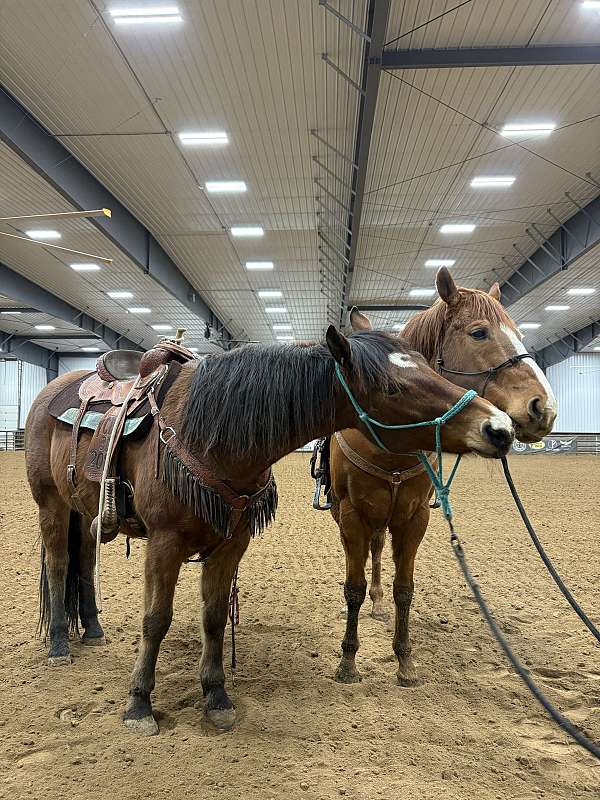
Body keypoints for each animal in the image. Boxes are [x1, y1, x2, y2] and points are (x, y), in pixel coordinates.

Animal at [25, 325, 514, 735]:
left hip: (84, 513)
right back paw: (59, 645)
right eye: (393, 387)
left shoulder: (231, 544)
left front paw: (216, 697)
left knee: (84, 564)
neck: (210, 432)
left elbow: (214, 616)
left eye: (430, 367)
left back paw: (92, 629)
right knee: (59, 563)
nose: (500, 427)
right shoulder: (164, 543)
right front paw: (139, 704)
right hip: (51, 504)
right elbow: (156, 619)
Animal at [329, 268, 557, 686]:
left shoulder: (414, 517)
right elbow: (352, 589)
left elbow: (404, 590)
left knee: (378, 553)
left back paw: (379, 603)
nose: (543, 408)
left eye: (520, 331)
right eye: (479, 332)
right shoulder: (351, 515)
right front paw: (348, 661)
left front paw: (405, 660)